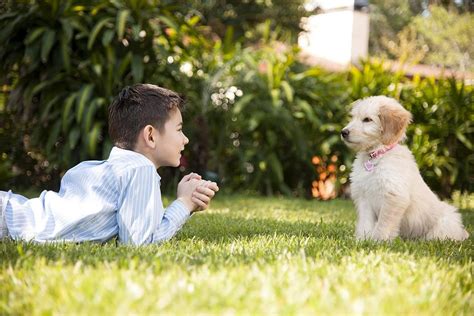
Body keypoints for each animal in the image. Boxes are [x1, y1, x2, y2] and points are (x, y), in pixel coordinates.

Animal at [340, 95, 466, 241]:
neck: (377, 155)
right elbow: (365, 223)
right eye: (353, 117)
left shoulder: (394, 196)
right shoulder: (364, 197)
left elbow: (384, 223)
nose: (343, 132)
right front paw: (361, 240)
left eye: (367, 119)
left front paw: (377, 240)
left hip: (446, 221)